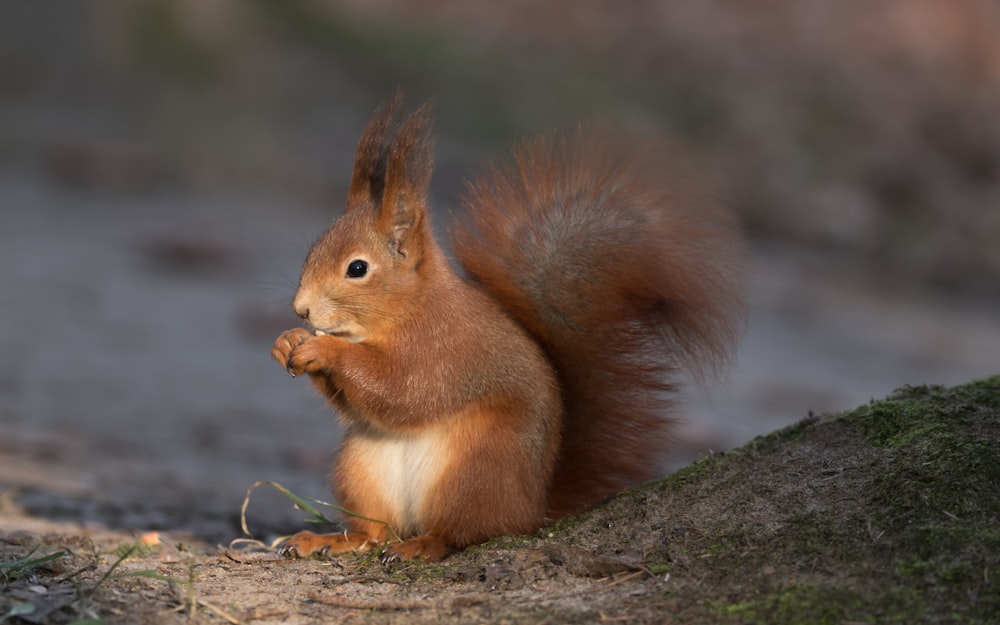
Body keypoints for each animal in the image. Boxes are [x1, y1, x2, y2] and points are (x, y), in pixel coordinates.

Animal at [270, 95, 748, 564]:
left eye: (357, 268)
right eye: (313, 249)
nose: (301, 310)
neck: (408, 309)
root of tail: (532, 507)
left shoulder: (443, 350)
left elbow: (401, 391)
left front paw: (326, 352)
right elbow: (357, 408)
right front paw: (287, 342)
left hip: (475, 469)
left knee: (464, 532)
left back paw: (423, 545)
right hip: (362, 469)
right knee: (376, 531)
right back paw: (332, 540)